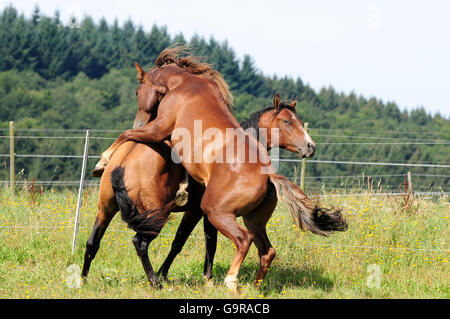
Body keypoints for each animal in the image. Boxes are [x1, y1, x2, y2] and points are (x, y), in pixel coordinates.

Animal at [89, 46, 348, 294]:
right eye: (287, 121)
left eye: (136, 92)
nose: (310, 146)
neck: (185, 84)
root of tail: (269, 176)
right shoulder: (197, 211)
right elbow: (196, 242)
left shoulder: (160, 131)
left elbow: (126, 134)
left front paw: (102, 161)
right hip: (246, 219)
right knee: (266, 251)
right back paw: (253, 287)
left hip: (213, 212)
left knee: (243, 240)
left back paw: (232, 281)